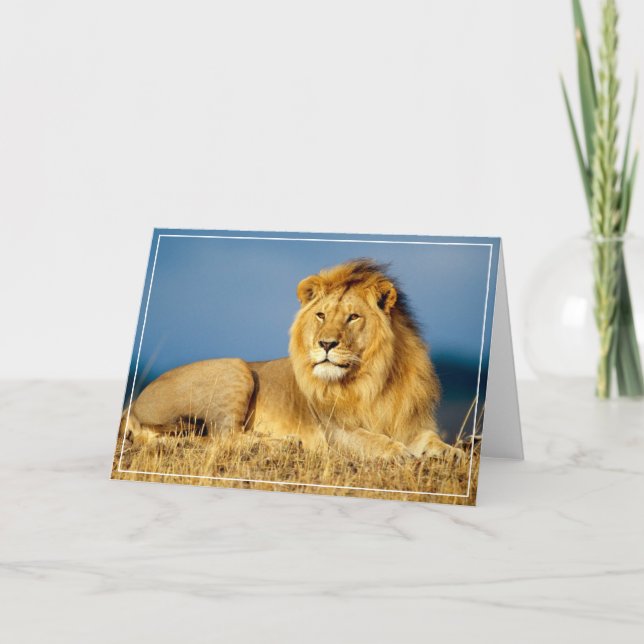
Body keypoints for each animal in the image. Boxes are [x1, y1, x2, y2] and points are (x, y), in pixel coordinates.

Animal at [120, 259, 461, 461]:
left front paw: (453, 454)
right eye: (321, 315)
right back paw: (279, 444)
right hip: (236, 368)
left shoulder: (411, 423)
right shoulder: (335, 431)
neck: (373, 379)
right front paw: (399, 453)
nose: (326, 343)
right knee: (223, 438)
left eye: (353, 317)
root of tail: (135, 402)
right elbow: (372, 441)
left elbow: (431, 439)